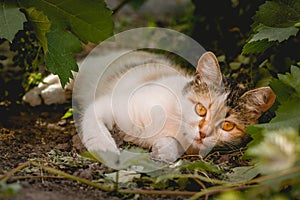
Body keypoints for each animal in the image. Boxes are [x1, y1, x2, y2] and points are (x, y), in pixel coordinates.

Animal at [23, 50, 276, 162]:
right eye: (201, 109)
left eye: (228, 126)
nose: (203, 133)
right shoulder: (107, 103)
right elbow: (94, 122)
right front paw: (106, 149)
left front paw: (164, 149)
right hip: (87, 68)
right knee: (65, 75)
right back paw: (39, 93)